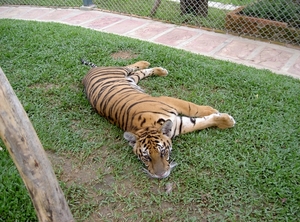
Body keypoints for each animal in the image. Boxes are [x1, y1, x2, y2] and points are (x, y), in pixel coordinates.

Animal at [81, 59, 234, 180]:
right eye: (146, 157)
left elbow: (192, 107)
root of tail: (89, 72)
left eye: (163, 152)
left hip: (120, 71)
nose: (160, 175)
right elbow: (200, 122)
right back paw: (159, 70)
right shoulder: (179, 125)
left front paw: (218, 114)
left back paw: (149, 64)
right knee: (139, 73)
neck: (147, 126)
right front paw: (225, 119)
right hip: (131, 79)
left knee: (130, 66)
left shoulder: (167, 101)